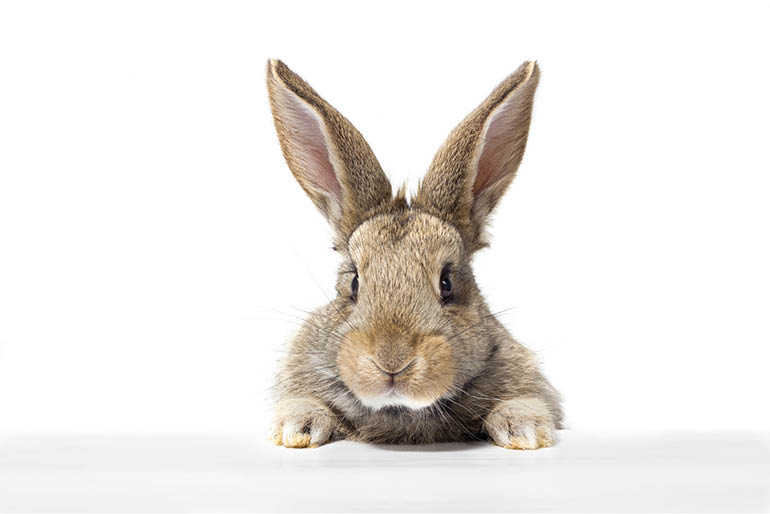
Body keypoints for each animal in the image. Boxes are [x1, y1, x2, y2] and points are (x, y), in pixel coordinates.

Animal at [266, 59, 563, 449]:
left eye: (448, 283)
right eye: (354, 283)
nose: (392, 362)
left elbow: (526, 402)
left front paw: (524, 431)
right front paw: (296, 428)